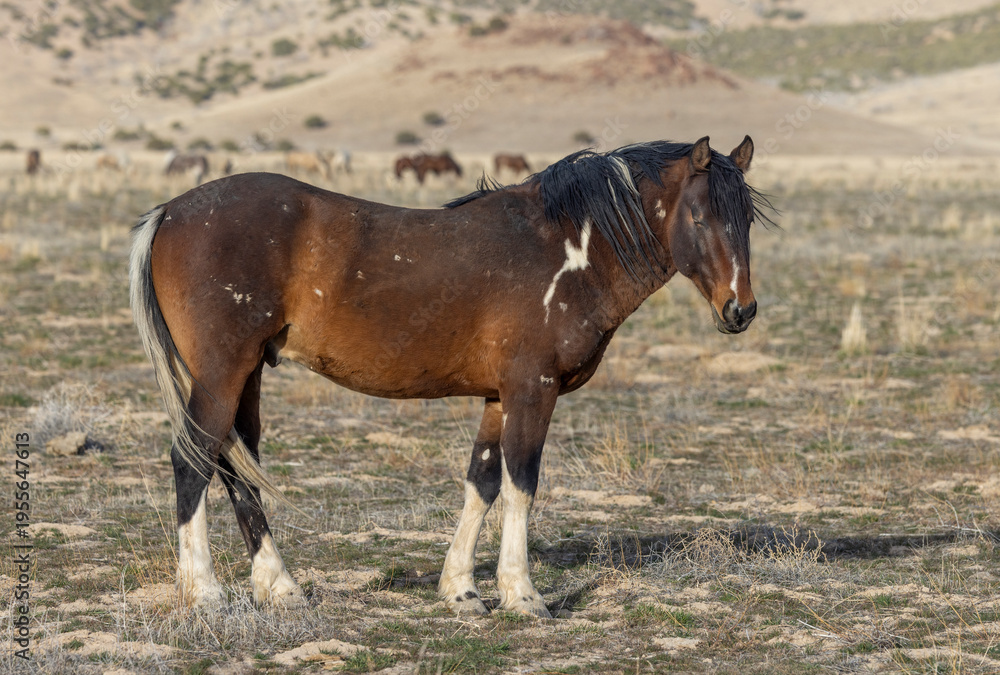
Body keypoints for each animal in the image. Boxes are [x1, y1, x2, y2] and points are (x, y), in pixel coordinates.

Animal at [129, 136, 770, 616]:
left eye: (747, 220)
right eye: (698, 215)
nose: (740, 309)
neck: (568, 246)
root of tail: (171, 210)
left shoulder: (498, 396)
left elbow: (481, 483)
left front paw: (461, 589)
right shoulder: (532, 391)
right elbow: (521, 484)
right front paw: (522, 593)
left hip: (247, 376)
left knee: (236, 466)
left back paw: (279, 586)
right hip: (222, 371)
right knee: (193, 461)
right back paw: (204, 592)